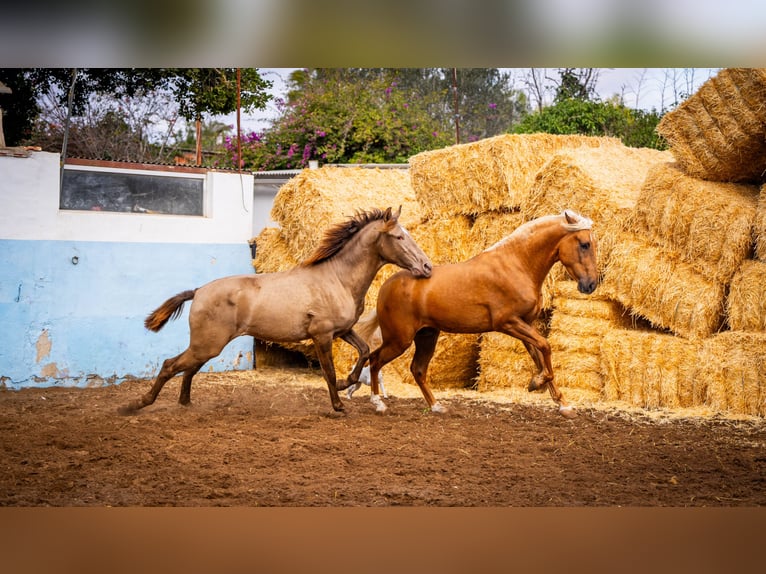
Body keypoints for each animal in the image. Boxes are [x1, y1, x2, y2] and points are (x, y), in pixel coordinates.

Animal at [118, 207, 432, 414]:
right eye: (399, 237)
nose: (427, 267)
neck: (337, 279)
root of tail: (198, 291)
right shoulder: (322, 335)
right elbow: (329, 372)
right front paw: (338, 405)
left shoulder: (343, 330)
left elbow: (365, 351)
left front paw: (348, 384)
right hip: (207, 344)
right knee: (170, 365)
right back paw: (136, 405)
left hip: (207, 346)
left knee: (187, 369)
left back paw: (185, 403)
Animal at [340, 209, 600, 420]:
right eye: (584, 244)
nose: (590, 285)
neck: (517, 265)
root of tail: (386, 286)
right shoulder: (508, 322)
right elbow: (546, 348)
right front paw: (537, 384)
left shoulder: (526, 324)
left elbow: (540, 356)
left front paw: (562, 404)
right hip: (399, 340)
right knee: (375, 360)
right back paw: (377, 403)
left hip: (427, 336)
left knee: (417, 370)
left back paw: (437, 407)